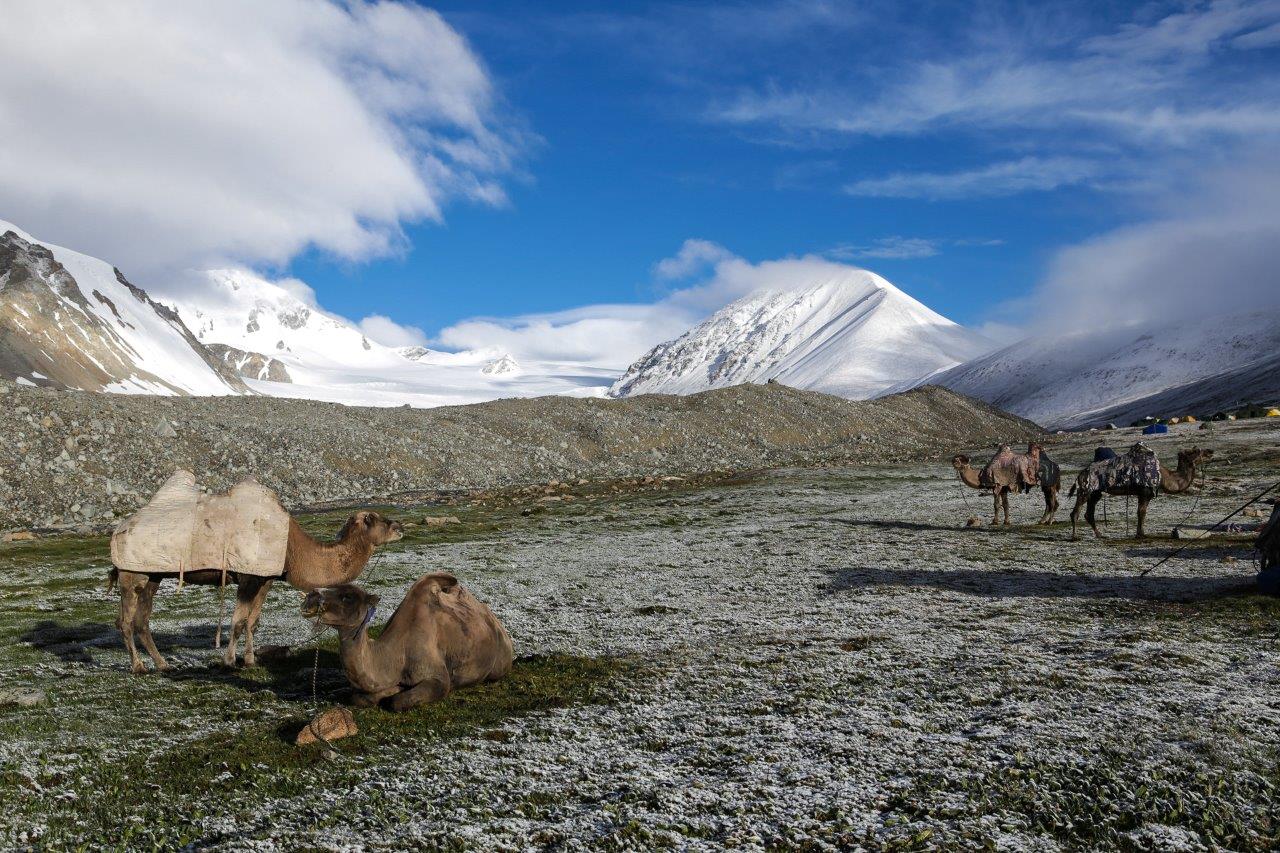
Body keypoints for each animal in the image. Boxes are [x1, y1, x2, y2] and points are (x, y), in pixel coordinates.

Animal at [110, 507, 401, 676]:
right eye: (371, 519)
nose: (399, 527)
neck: (294, 549)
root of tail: (118, 529)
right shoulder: (249, 577)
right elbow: (238, 621)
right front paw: (229, 661)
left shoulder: (266, 578)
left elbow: (252, 621)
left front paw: (250, 660)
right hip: (131, 572)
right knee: (125, 620)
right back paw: (138, 667)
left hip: (153, 575)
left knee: (142, 619)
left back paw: (162, 664)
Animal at [302, 573, 512, 706]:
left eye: (347, 597)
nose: (312, 595)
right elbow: (361, 698)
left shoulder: (438, 678)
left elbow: (398, 702)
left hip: (500, 663)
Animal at [1064, 445, 1213, 537]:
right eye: (1194, 451)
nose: (1210, 451)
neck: (1163, 477)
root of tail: (1080, 474)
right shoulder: (1145, 492)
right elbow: (1142, 512)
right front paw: (1141, 534)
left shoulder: (1143, 494)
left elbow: (1140, 512)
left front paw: (1139, 533)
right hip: (1085, 489)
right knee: (1076, 512)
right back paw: (1075, 536)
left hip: (1095, 492)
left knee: (1089, 513)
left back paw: (1100, 535)